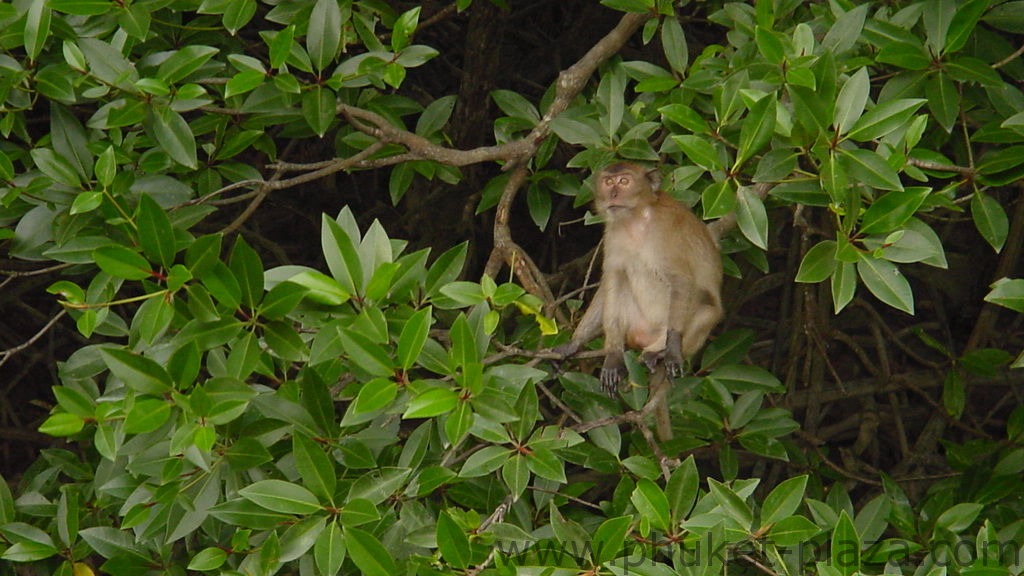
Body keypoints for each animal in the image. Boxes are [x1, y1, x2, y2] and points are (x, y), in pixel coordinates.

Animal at [557, 161, 724, 438]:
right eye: (609, 182)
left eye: (624, 181)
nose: (614, 194)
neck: (635, 220)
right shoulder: (612, 233)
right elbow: (612, 279)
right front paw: (582, 345)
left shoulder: (667, 231)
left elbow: (682, 280)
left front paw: (673, 349)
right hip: (636, 325)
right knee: (623, 280)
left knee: (707, 310)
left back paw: (658, 351)